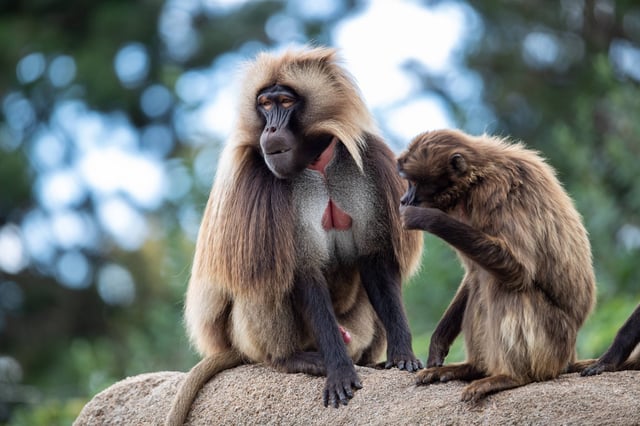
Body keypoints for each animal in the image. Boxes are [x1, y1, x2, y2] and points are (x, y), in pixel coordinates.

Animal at [165, 47, 423, 425]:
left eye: (285, 101)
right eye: (264, 104)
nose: (271, 128)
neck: (317, 165)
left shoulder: (370, 162)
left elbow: (374, 260)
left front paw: (402, 355)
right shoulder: (258, 180)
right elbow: (302, 272)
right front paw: (339, 370)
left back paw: (368, 361)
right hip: (252, 340)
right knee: (262, 274)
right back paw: (292, 359)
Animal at [396, 129, 595, 402]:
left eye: (415, 183)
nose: (404, 200)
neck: (476, 179)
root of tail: (570, 354)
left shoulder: (498, 192)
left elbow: (519, 270)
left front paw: (428, 219)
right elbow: (472, 275)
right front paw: (438, 344)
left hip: (556, 342)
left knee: (503, 286)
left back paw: (512, 377)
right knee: (481, 285)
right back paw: (473, 368)